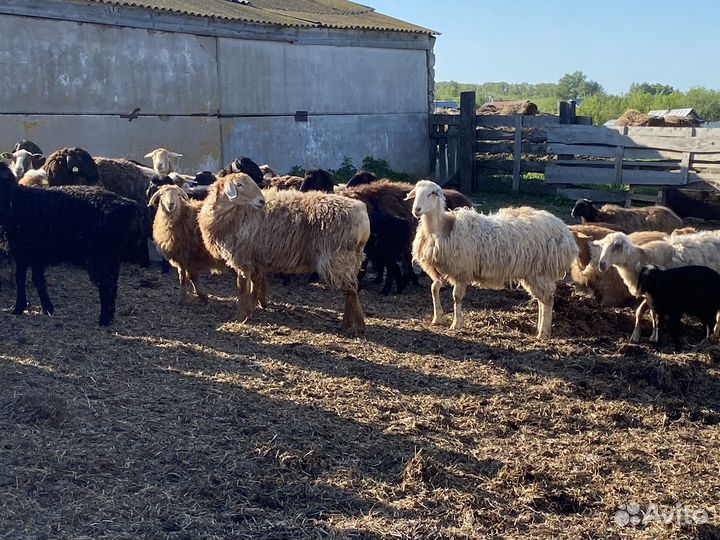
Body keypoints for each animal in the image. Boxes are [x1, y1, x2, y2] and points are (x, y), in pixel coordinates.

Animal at [0, 162, 145, 326]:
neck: (16, 201)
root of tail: (129, 206)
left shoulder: (23, 251)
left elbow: (21, 279)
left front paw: (18, 308)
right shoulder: (34, 253)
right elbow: (37, 279)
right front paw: (47, 308)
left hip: (99, 255)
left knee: (105, 284)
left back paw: (104, 319)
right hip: (111, 256)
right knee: (112, 284)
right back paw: (110, 315)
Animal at [198, 173, 370, 336]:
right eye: (239, 184)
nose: (261, 201)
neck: (233, 213)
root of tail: (362, 216)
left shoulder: (243, 258)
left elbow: (242, 289)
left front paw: (241, 317)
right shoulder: (255, 259)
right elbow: (255, 284)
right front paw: (254, 306)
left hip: (338, 258)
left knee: (351, 291)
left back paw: (359, 328)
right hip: (352, 259)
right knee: (350, 291)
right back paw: (347, 323)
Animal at [407, 180, 578, 338]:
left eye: (432, 193)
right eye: (415, 193)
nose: (416, 210)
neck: (442, 228)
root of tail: (565, 233)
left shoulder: (461, 271)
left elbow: (456, 297)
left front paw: (456, 324)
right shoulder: (439, 270)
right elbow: (434, 288)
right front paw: (437, 317)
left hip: (539, 271)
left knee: (548, 299)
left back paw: (543, 333)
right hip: (534, 273)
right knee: (543, 300)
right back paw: (540, 328)